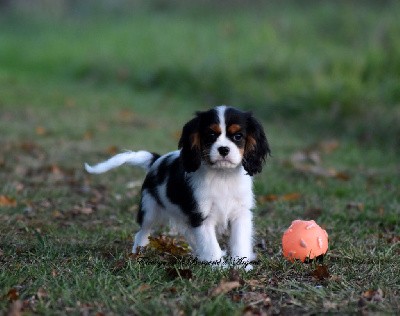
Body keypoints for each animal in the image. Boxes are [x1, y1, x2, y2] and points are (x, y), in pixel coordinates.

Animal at [85, 105, 270, 266]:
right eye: (211, 135)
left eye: (238, 136)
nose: (223, 149)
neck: (223, 175)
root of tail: (156, 160)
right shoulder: (201, 216)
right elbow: (210, 244)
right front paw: (219, 267)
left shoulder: (240, 214)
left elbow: (239, 241)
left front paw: (241, 266)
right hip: (150, 210)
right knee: (142, 232)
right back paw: (138, 253)